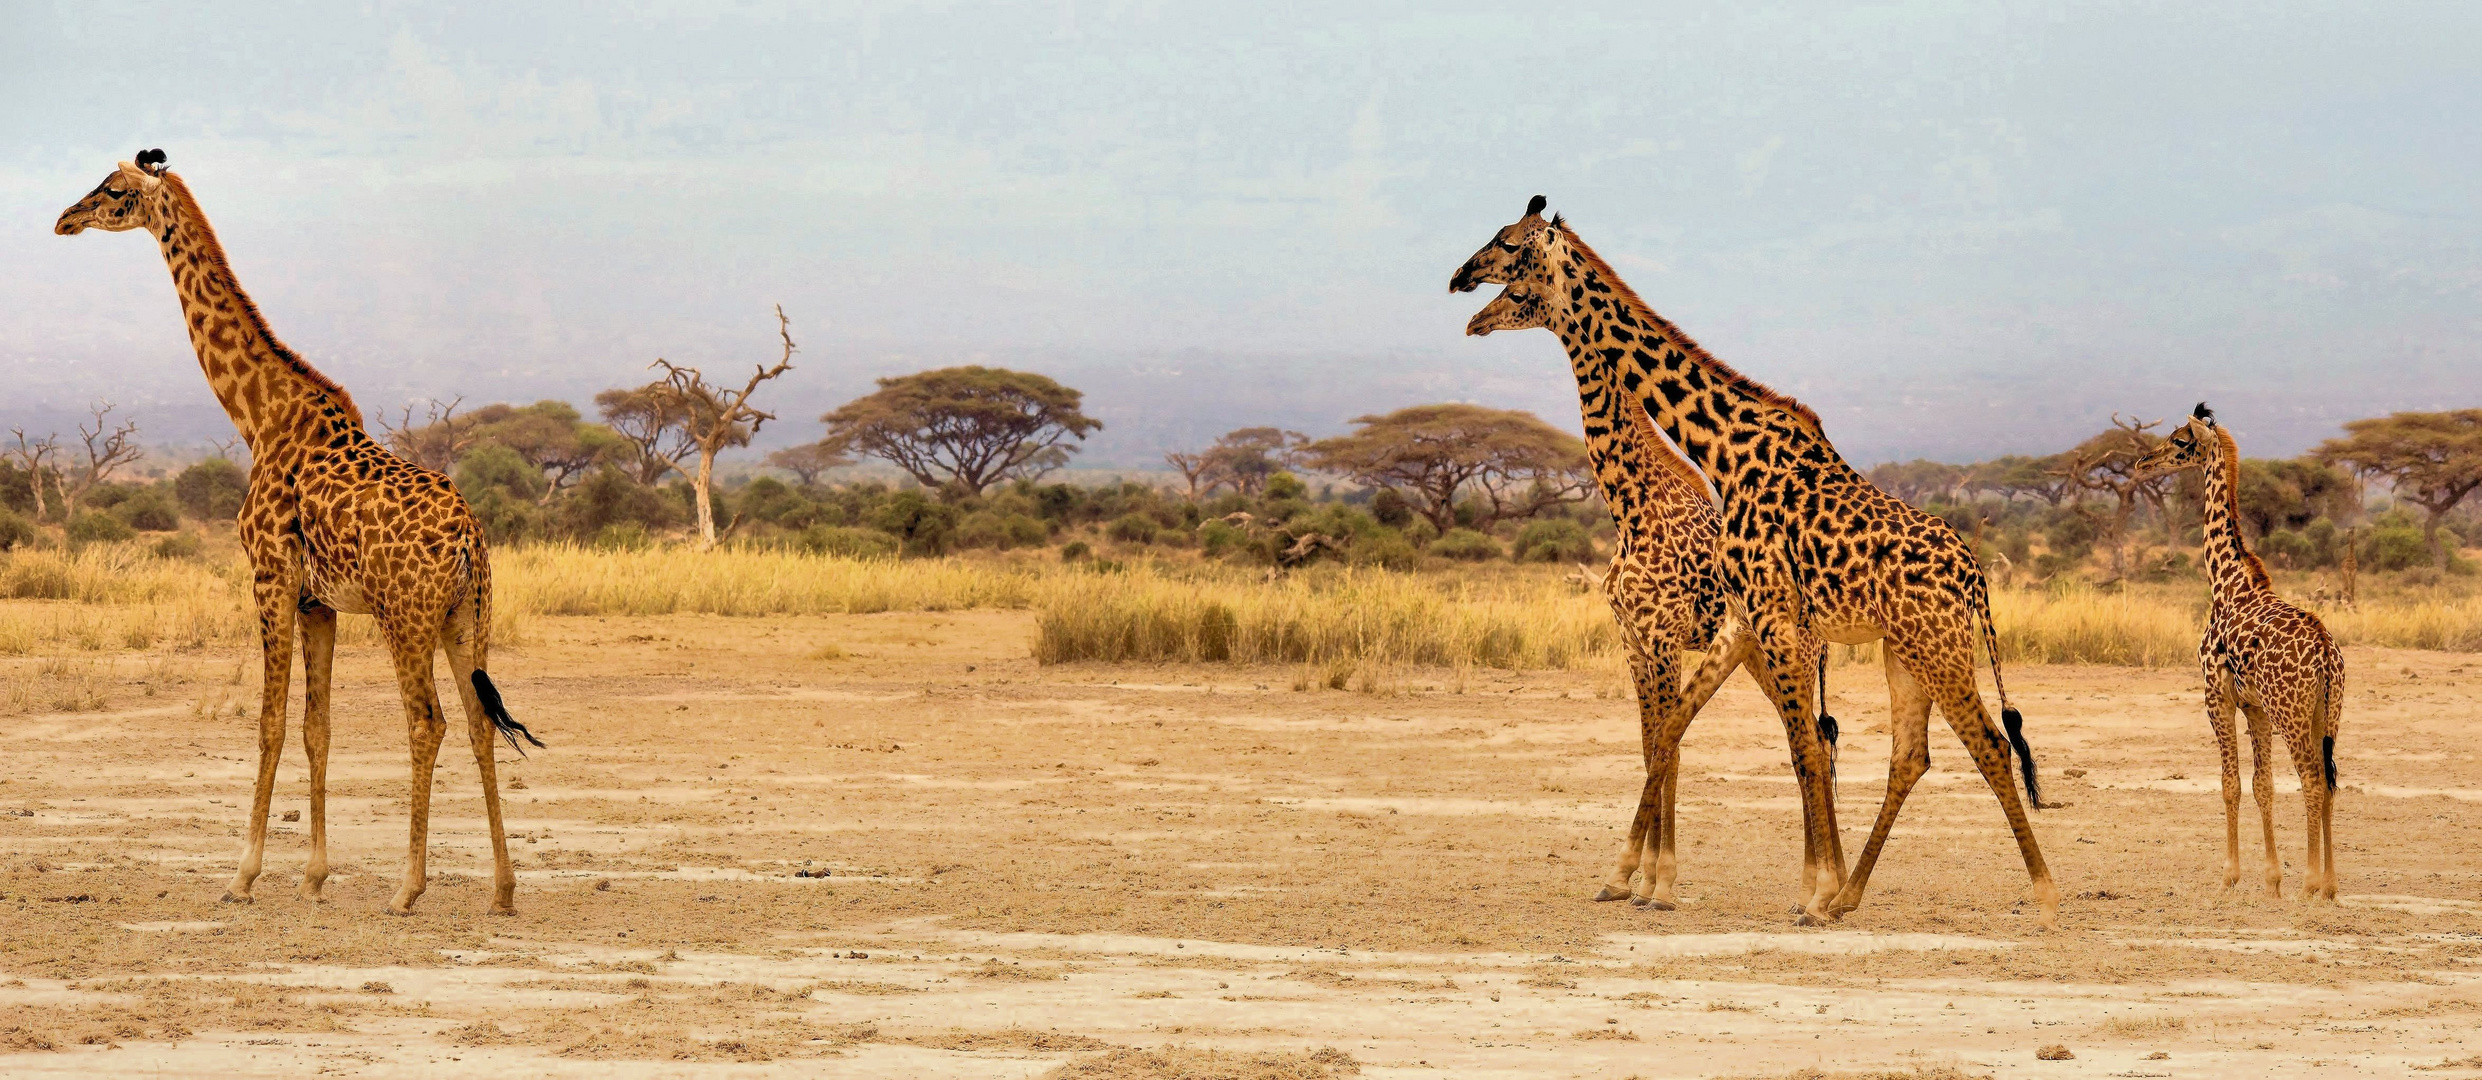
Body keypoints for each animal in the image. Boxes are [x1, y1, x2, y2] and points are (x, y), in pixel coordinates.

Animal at [58, 150, 543, 913]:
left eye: (112, 191)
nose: (64, 220)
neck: (257, 414)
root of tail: (470, 538)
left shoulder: (270, 577)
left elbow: (269, 721)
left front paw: (243, 874)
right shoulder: (320, 603)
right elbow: (318, 726)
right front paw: (313, 874)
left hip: (405, 617)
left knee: (427, 720)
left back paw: (407, 887)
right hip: (467, 616)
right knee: (477, 719)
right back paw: (501, 889)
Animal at [1449, 198, 2055, 923]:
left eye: (1509, 248)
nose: (1461, 289)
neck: (1720, 449)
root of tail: (1975, 575)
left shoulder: (1749, 617)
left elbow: (1795, 749)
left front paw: (1768, 888)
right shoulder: (1733, 623)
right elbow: (1689, 734)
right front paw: (1637, 878)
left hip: (1934, 644)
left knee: (1985, 743)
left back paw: (2041, 892)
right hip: (1903, 649)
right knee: (1909, 756)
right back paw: (1849, 895)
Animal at [2134, 407, 2343, 903]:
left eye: (2180, 441)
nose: (2144, 462)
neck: (2226, 584)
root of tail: (2326, 655)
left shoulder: (2216, 696)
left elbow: (2230, 784)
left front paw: (2229, 875)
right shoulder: (2255, 707)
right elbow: (2262, 784)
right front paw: (2271, 880)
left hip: (2293, 712)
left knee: (2311, 780)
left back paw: (2311, 882)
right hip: (2327, 713)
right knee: (2328, 781)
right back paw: (2329, 884)